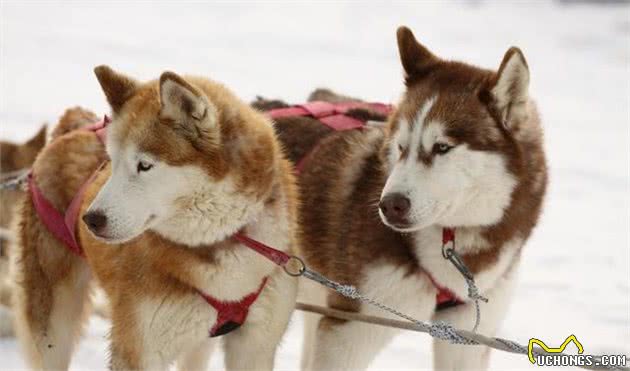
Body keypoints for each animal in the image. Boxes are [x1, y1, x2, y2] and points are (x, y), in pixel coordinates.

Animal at [11, 68, 298, 370]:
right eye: (112, 162)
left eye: (144, 165)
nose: (91, 219)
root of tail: (72, 127)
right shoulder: (138, 349)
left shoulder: (255, 346)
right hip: (54, 325)